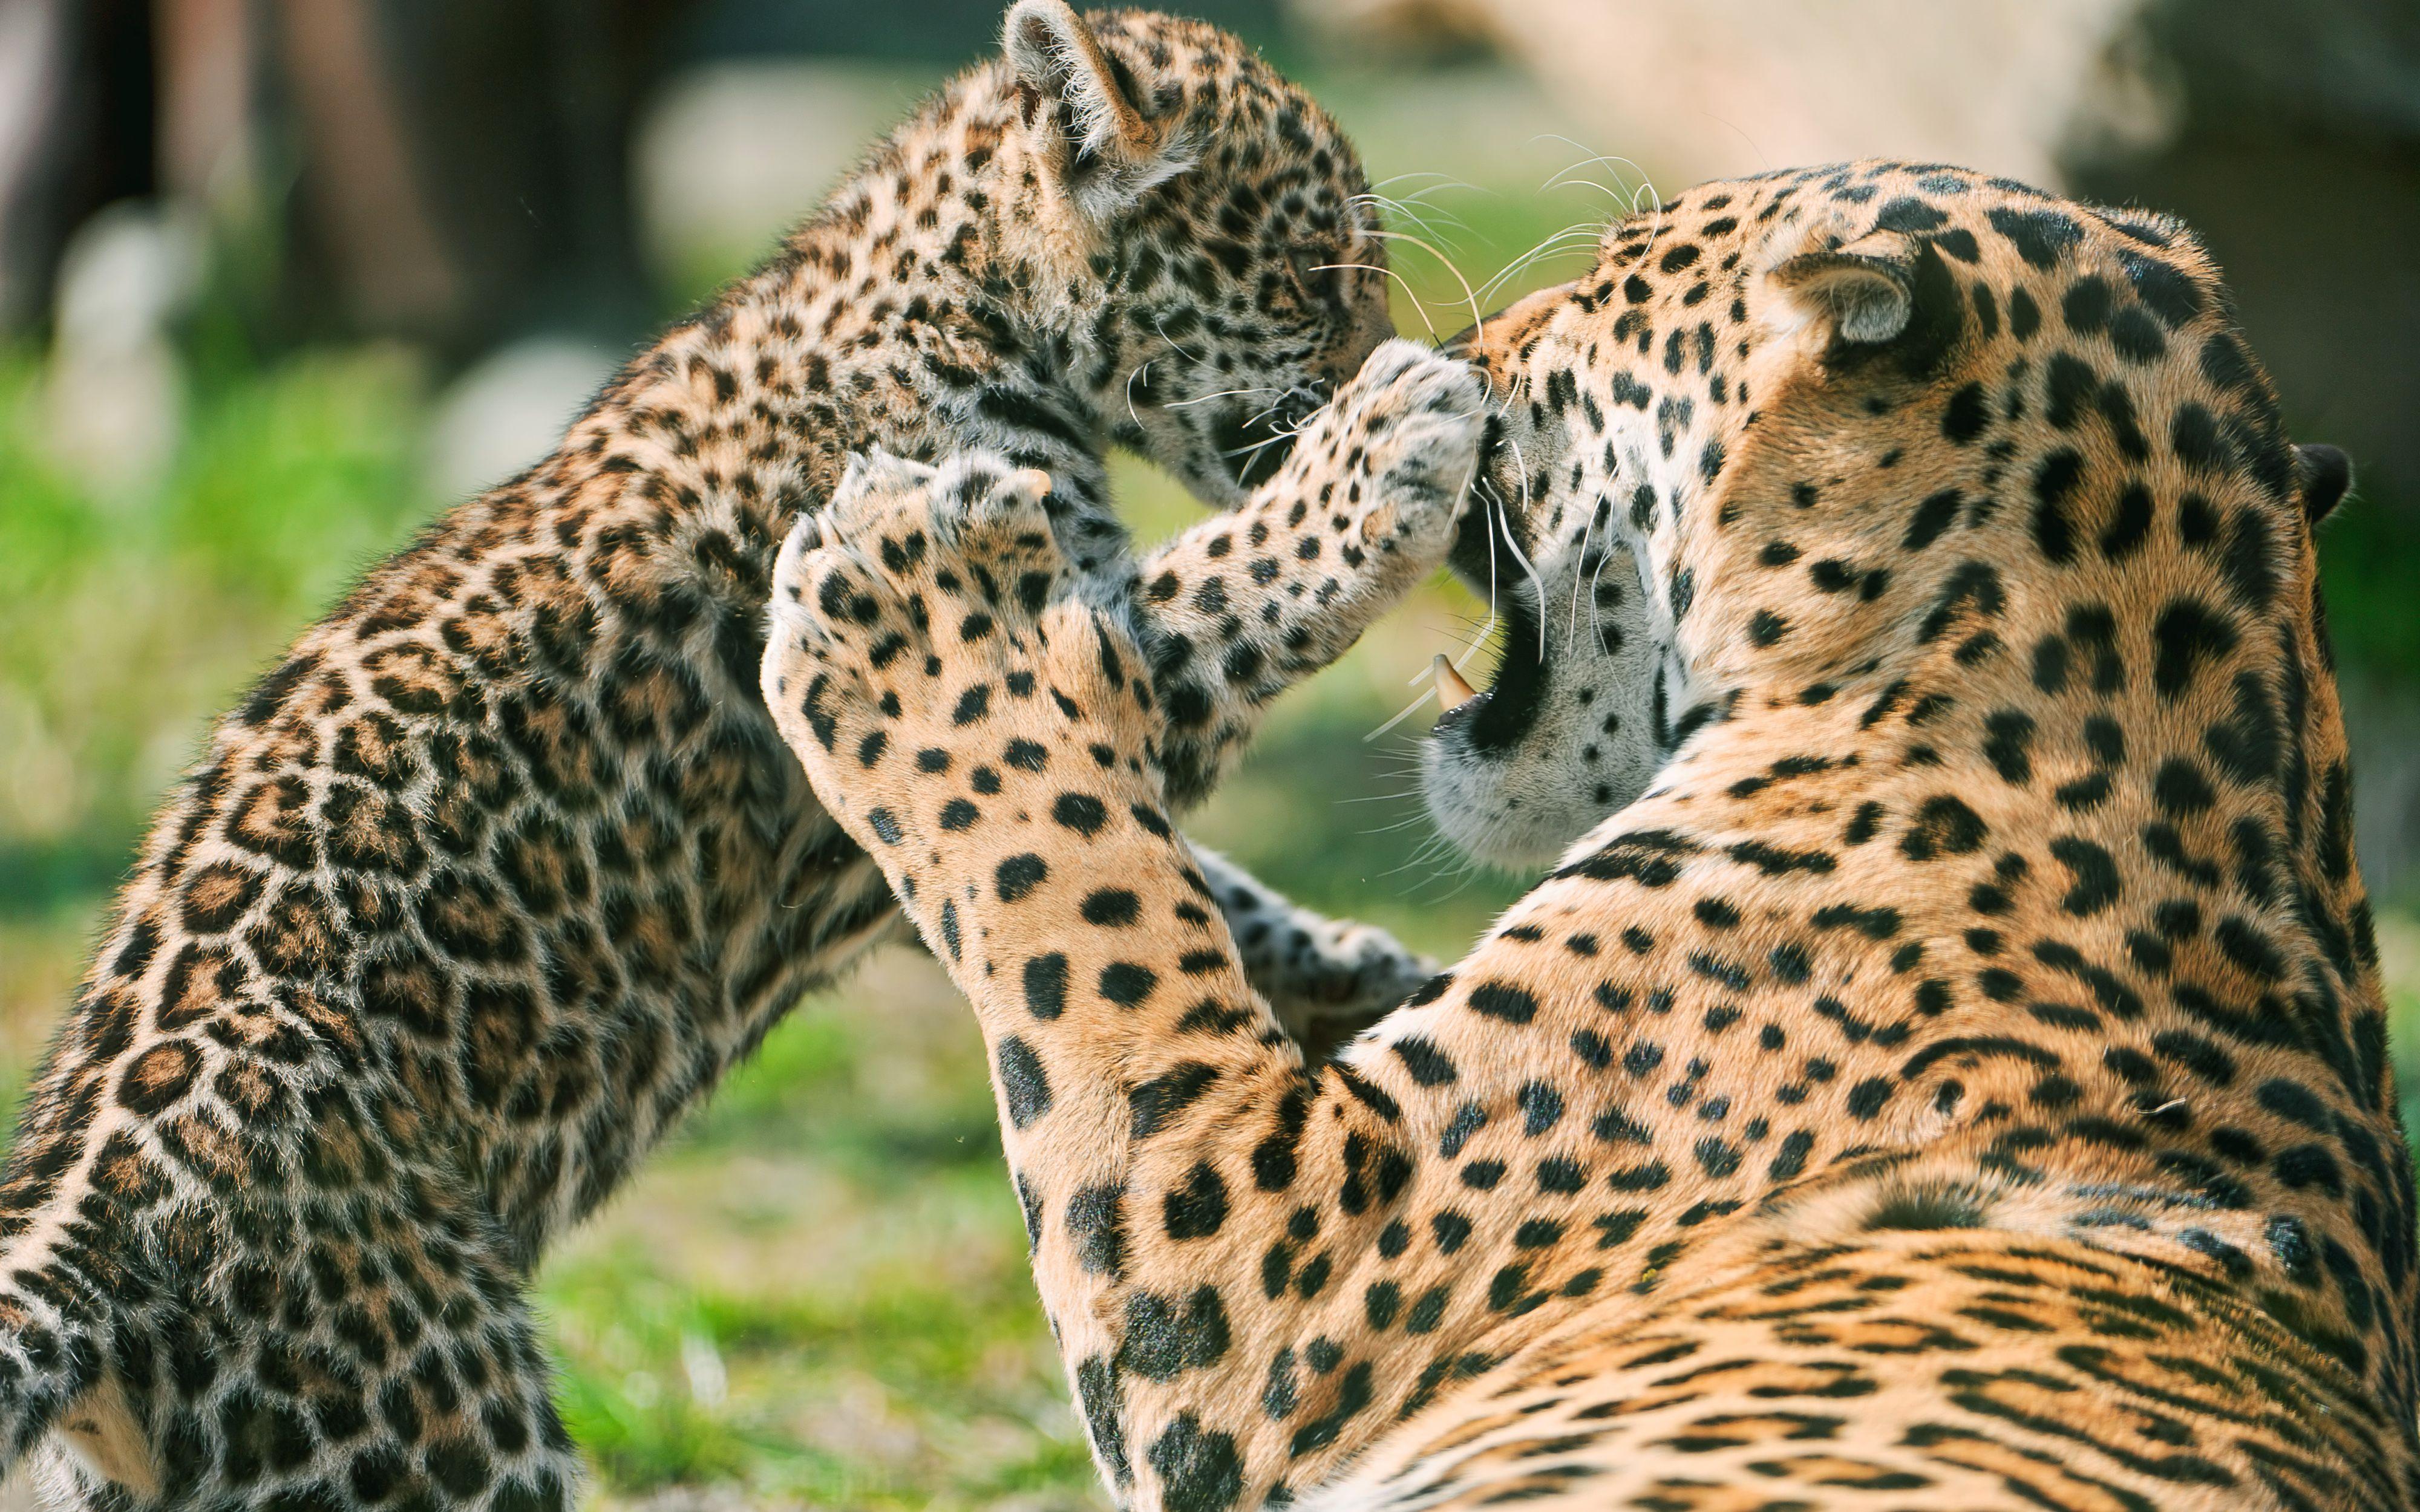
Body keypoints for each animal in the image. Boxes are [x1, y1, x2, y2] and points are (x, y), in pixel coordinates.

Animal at [0, 6, 1487, 1506]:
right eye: (1316, 273)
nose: (1422, 352)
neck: (951, 297)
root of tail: (83, 1229)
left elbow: (1125, 865)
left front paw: (1352, 971)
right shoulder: (1040, 638)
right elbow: (1218, 599)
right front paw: (1385, 447)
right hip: (438, 1430)